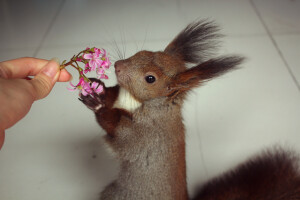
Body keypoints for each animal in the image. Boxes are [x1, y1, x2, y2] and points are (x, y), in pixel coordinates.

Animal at [79, 20, 300, 200]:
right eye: (142, 52)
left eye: (150, 78)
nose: (118, 66)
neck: (134, 100)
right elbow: (112, 97)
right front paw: (98, 88)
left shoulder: (146, 134)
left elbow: (119, 134)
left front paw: (98, 104)